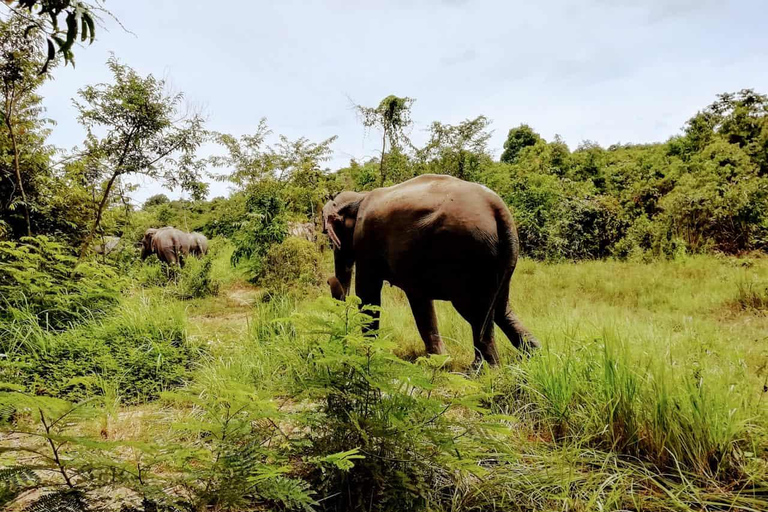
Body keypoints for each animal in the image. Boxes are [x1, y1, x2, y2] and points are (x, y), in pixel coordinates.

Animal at [322, 174, 540, 366]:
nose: (328, 279)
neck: (359, 196)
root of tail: (498, 207)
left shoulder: (366, 241)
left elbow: (368, 294)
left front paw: (367, 350)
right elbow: (419, 299)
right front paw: (439, 360)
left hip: (470, 252)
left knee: (476, 311)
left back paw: (484, 369)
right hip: (499, 256)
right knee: (501, 308)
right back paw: (532, 356)